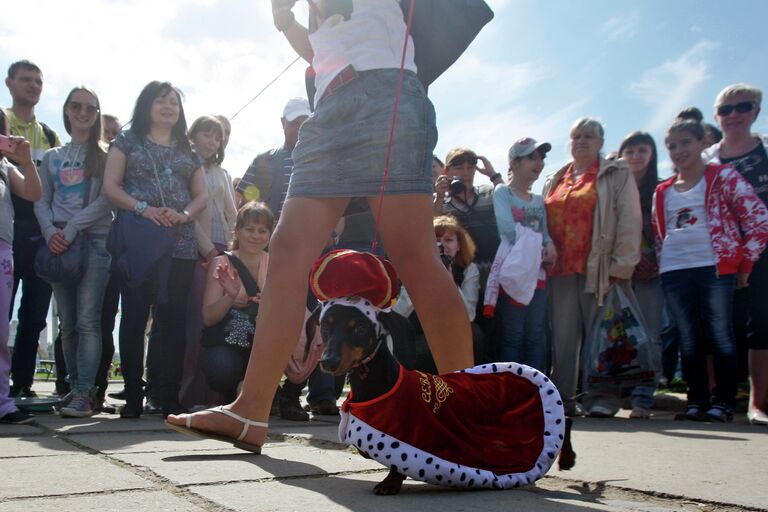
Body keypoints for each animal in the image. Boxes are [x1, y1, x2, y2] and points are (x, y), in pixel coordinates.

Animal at [306, 300, 576, 496]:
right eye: (325, 326)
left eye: (360, 329)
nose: (327, 362)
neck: (381, 383)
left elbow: (398, 463)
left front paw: (390, 483)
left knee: (566, 417)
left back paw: (568, 456)